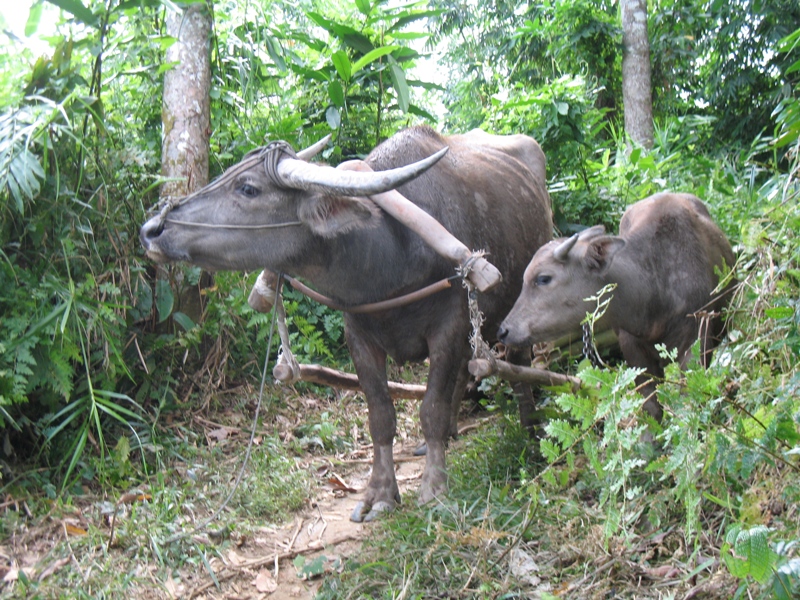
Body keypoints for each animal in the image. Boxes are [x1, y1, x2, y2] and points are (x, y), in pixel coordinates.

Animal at [141, 125, 552, 520]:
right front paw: (380, 495)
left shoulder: (449, 327)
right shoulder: (359, 336)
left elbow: (430, 408)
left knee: (518, 366)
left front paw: (434, 489)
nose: (151, 230)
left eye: (248, 188)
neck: (389, 255)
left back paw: (530, 429)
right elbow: (381, 416)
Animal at [496, 193, 736, 422]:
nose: (504, 331)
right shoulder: (633, 349)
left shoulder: (696, 340)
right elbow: (650, 407)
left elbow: (689, 403)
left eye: (543, 278)